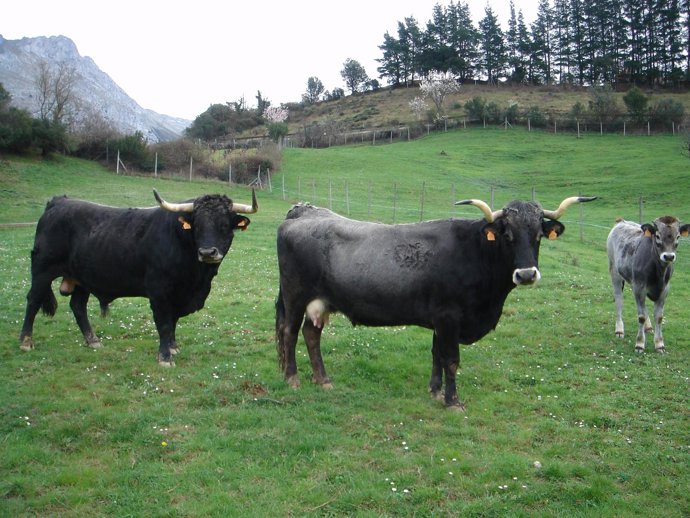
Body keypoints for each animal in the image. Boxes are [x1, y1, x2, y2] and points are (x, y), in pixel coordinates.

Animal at [19, 188, 257, 366]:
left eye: (224, 225)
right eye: (196, 225)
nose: (208, 252)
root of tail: (58, 202)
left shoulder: (180, 295)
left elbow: (173, 321)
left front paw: (173, 347)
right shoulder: (159, 291)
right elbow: (164, 323)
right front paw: (165, 357)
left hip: (82, 279)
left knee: (78, 306)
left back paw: (93, 340)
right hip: (42, 270)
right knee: (33, 300)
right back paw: (25, 342)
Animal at [275, 195, 596, 409]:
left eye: (539, 234)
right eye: (507, 234)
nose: (527, 274)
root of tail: (303, 211)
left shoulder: (440, 321)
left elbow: (436, 355)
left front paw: (435, 391)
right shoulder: (448, 317)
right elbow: (451, 359)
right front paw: (453, 401)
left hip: (320, 302)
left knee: (311, 334)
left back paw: (323, 380)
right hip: (295, 296)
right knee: (290, 332)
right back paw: (292, 379)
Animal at [607, 217, 689, 353]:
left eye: (678, 236)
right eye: (657, 236)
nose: (669, 256)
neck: (658, 273)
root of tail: (621, 221)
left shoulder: (664, 290)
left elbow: (659, 317)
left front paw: (659, 344)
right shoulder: (640, 287)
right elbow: (641, 317)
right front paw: (639, 344)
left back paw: (648, 327)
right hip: (615, 272)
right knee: (618, 299)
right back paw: (619, 330)